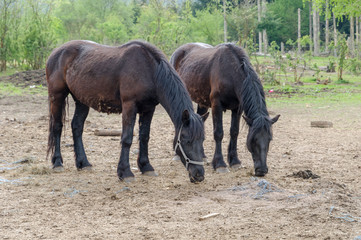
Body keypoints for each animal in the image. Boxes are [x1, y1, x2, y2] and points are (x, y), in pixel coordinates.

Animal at [45, 40, 208, 183]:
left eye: (202, 140)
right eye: (186, 140)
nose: (199, 175)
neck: (150, 70)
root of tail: (56, 52)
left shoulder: (149, 108)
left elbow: (144, 136)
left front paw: (146, 167)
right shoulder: (129, 106)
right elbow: (127, 138)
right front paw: (125, 172)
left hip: (81, 101)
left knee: (77, 127)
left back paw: (83, 163)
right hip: (57, 96)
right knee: (57, 127)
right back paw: (57, 163)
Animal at [170, 42, 280, 176]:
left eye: (270, 139)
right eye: (253, 139)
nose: (262, 170)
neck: (231, 72)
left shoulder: (237, 108)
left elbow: (234, 132)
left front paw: (234, 161)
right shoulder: (217, 106)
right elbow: (218, 133)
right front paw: (220, 164)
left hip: (202, 103)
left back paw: (202, 156)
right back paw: (177, 155)